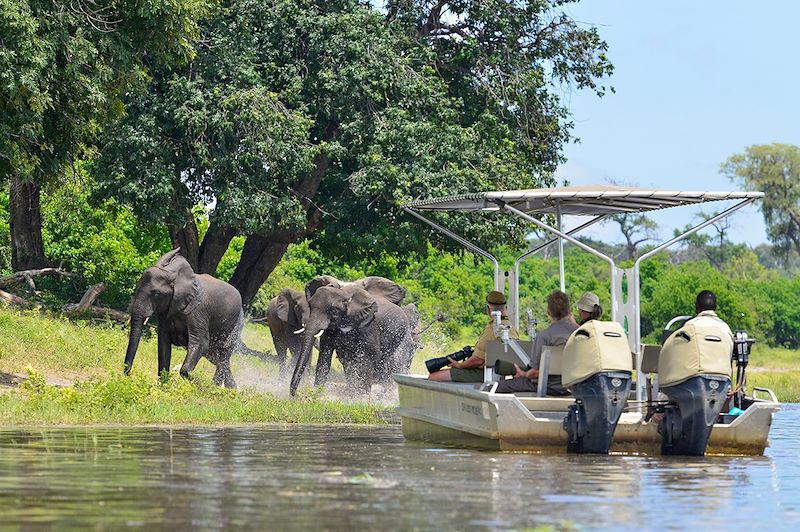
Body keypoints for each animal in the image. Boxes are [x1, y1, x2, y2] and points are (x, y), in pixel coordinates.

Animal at [122, 249, 244, 386]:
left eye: (156, 294)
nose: (128, 375)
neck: (176, 277)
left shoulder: (198, 311)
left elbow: (201, 343)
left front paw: (197, 382)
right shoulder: (165, 312)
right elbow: (163, 343)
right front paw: (164, 386)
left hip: (236, 325)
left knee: (223, 355)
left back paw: (215, 387)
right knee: (218, 358)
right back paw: (231, 389)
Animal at [290, 278, 418, 394]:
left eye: (333, 311)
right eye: (310, 307)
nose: (293, 396)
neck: (345, 295)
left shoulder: (370, 324)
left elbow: (370, 354)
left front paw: (361, 396)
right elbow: (326, 355)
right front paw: (318, 393)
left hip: (402, 336)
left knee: (394, 361)